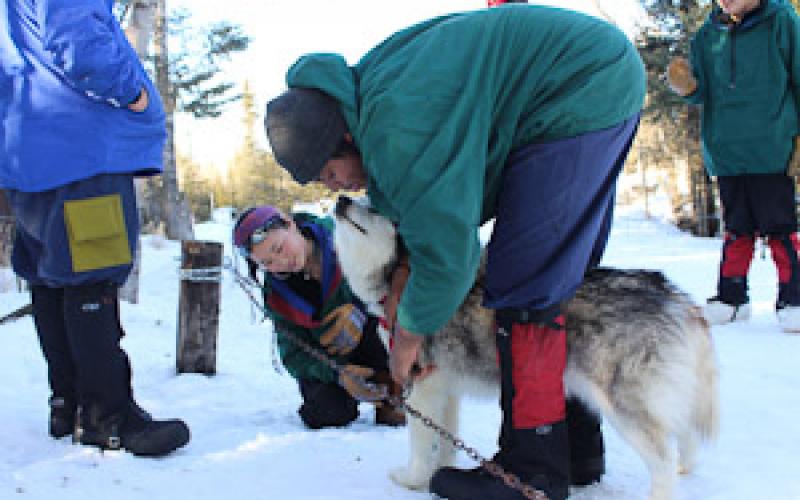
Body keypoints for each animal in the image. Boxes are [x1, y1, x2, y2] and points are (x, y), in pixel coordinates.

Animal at [332, 195, 720, 500]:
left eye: (374, 207)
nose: (340, 199)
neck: (401, 278)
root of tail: (672, 295)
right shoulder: (447, 387)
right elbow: (446, 439)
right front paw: (438, 474)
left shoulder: (420, 385)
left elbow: (420, 445)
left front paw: (412, 480)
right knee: (683, 435)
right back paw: (686, 466)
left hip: (624, 404)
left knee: (663, 459)